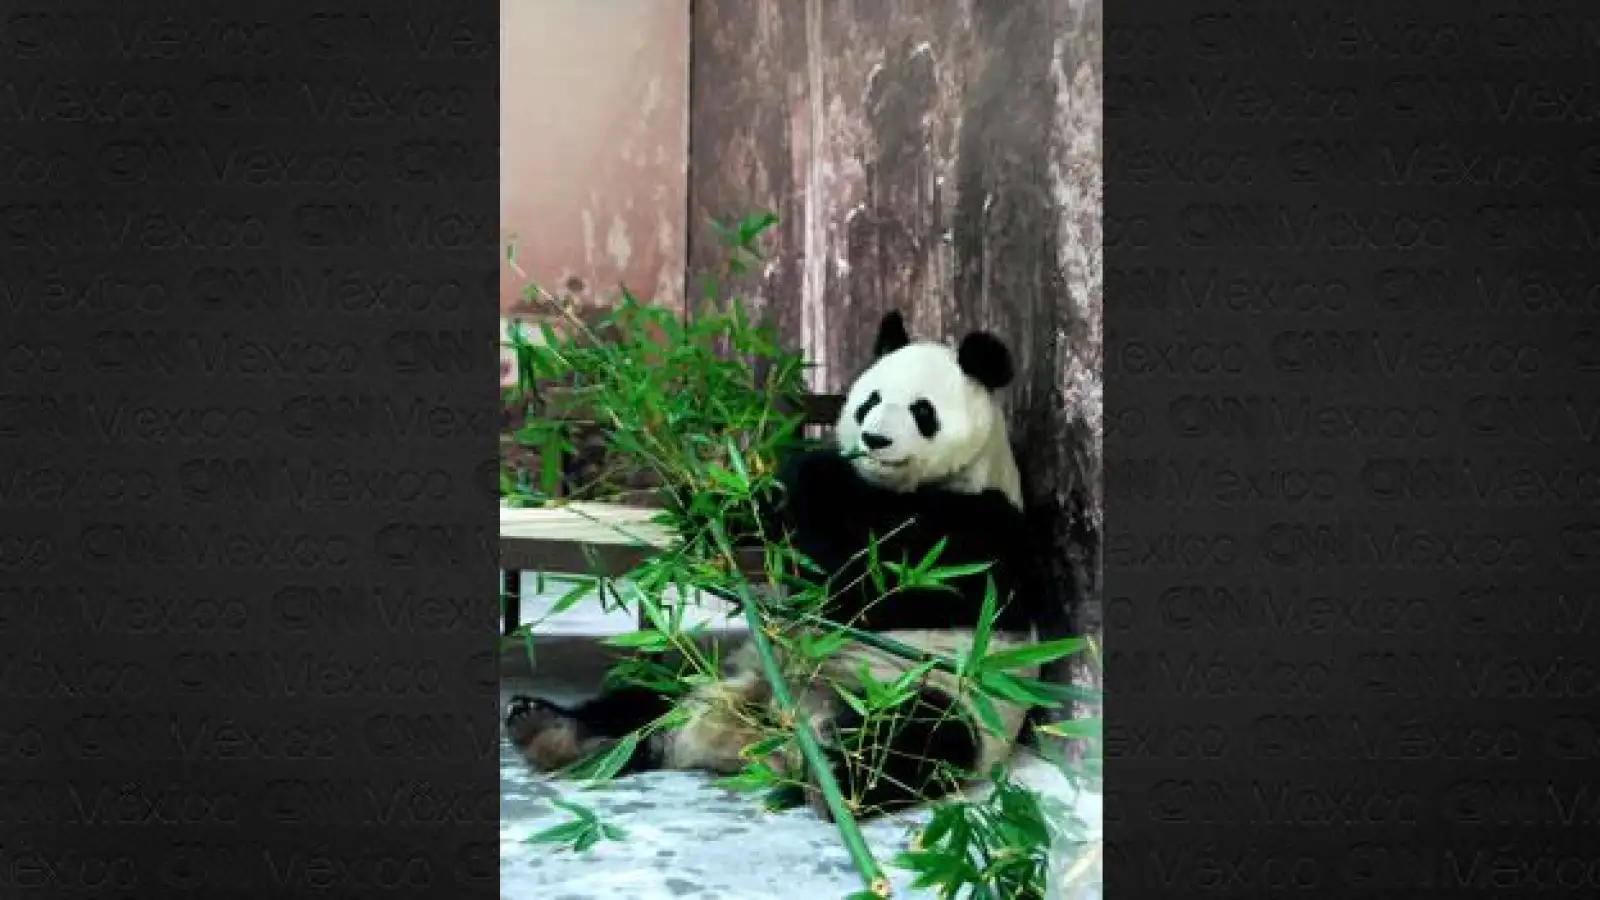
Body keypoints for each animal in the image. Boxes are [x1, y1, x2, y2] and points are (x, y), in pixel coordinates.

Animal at [505, 309, 1046, 820]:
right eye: (869, 401)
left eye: (922, 411)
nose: (873, 440)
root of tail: (771, 737)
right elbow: (759, 522)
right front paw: (707, 503)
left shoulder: (979, 529)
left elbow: (868, 579)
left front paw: (814, 472)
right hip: (720, 676)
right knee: (644, 703)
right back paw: (547, 728)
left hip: (926, 690)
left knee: (911, 738)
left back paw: (839, 784)